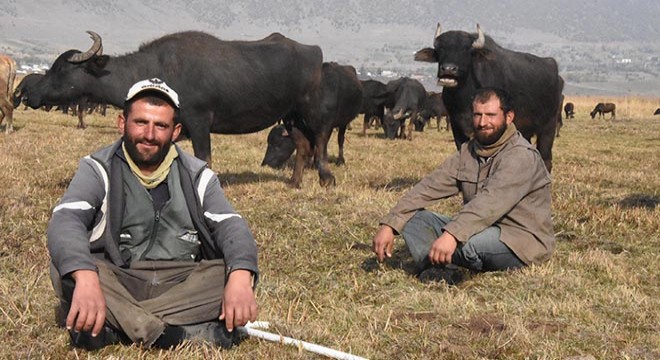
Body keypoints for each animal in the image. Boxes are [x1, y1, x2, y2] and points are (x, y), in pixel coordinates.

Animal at [25, 30, 324, 187]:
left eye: (61, 69)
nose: (30, 95)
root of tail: (314, 51)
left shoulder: (200, 121)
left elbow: (205, 159)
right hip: (290, 117)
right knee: (302, 145)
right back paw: (295, 182)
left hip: (309, 112)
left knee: (318, 141)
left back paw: (325, 177)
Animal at [412, 23, 564, 172]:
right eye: (440, 49)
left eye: (466, 50)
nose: (448, 69)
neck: (465, 99)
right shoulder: (457, 128)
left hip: (548, 127)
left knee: (546, 158)